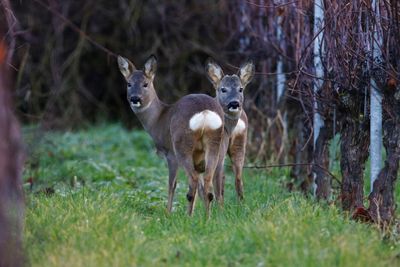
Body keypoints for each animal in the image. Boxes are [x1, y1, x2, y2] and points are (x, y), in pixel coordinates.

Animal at [118, 55, 225, 218]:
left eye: (145, 84)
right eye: (129, 84)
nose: (135, 98)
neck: (158, 120)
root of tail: (205, 112)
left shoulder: (170, 154)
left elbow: (172, 184)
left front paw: (168, 213)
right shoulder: (198, 158)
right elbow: (201, 188)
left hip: (181, 144)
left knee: (192, 180)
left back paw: (189, 217)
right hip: (214, 142)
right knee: (207, 181)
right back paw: (207, 218)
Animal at [205, 59, 255, 204]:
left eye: (240, 89)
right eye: (223, 89)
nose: (234, 103)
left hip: (239, 144)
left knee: (237, 176)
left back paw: (241, 203)